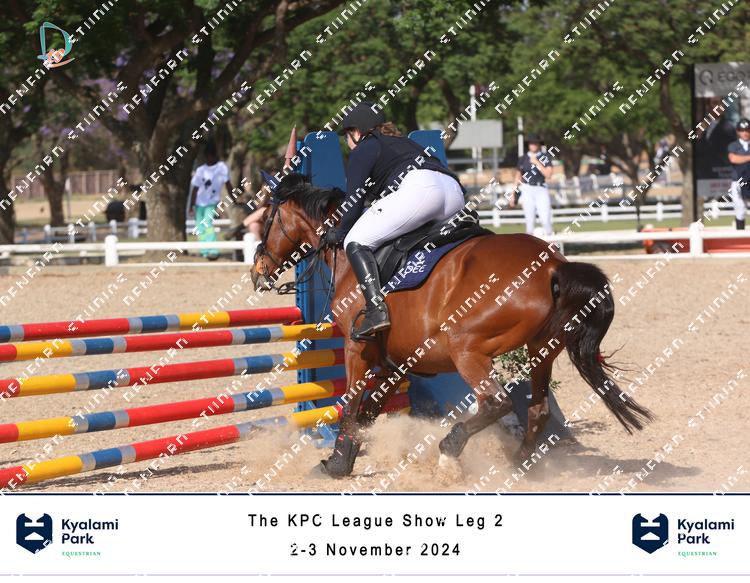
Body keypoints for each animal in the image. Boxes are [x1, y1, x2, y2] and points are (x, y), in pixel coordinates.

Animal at [250, 172, 652, 478]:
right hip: (541, 349)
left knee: (497, 403)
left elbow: (350, 405)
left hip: (466, 347)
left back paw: (449, 452)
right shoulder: (397, 361)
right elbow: (368, 411)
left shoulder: (358, 348)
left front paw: (336, 464)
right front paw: (348, 457)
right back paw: (517, 465)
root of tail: (553, 265)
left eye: (265, 221)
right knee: (537, 410)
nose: (257, 271)